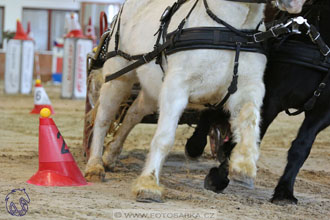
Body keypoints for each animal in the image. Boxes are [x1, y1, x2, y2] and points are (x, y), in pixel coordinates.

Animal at [84, 0, 306, 202]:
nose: (295, 3)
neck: (230, 30)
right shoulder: (176, 87)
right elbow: (164, 138)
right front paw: (148, 185)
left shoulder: (249, 87)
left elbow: (250, 122)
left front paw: (243, 165)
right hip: (118, 76)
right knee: (103, 118)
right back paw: (95, 165)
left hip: (152, 88)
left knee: (132, 114)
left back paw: (110, 155)